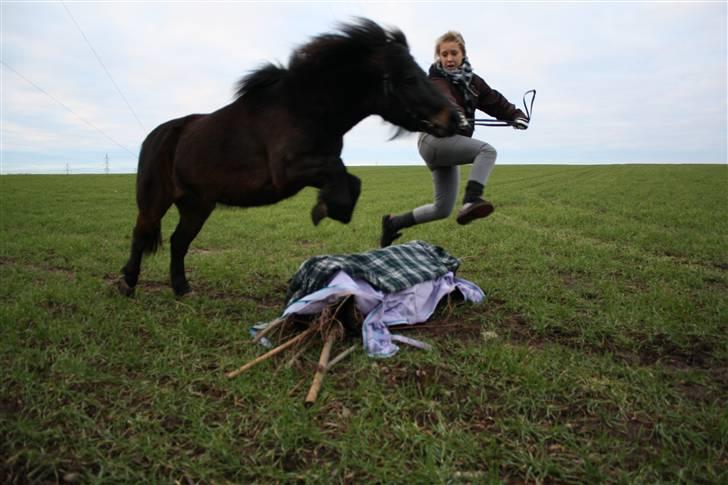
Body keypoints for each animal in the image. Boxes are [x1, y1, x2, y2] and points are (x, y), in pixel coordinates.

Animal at [119, 18, 460, 294]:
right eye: (409, 78)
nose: (455, 118)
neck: (303, 107)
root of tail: (157, 135)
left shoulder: (312, 171)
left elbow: (351, 180)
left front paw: (331, 208)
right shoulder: (289, 172)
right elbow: (339, 173)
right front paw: (328, 208)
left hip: (197, 205)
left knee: (178, 242)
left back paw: (181, 288)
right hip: (156, 201)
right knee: (141, 233)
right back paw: (127, 283)